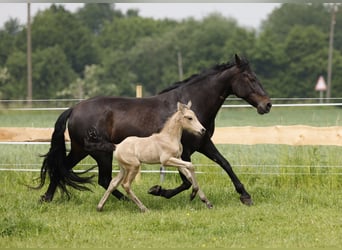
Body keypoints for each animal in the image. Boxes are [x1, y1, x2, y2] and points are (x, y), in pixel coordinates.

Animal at [36, 54, 272, 205]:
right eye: (250, 78)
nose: (267, 105)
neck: (192, 105)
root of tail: (74, 108)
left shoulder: (204, 142)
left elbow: (225, 164)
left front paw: (245, 196)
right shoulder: (184, 151)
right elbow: (186, 180)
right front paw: (158, 191)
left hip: (81, 150)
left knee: (63, 168)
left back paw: (46, 198)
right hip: (100, 153)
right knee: (100, 178)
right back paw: (126, 201)